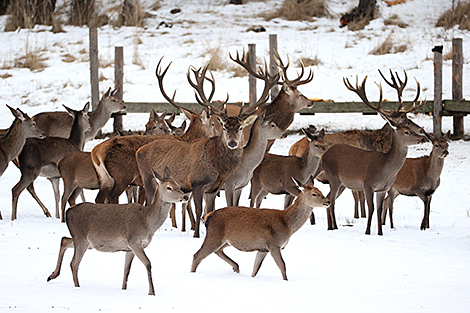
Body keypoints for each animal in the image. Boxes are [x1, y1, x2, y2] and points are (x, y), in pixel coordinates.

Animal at [46, 166, 189, 294]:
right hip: (81, 239)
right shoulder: (134, 241)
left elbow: (127, 270)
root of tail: (68, 212)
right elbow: (148, 263)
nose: (185, 197)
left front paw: (123, 289)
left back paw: (52, 275)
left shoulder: (129, 248)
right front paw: (152, 292)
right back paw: (77, 287)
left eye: (178, 185)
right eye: (169, 187)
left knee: (64, 240)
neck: (147, 223)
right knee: (74, 263)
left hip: (84, 241)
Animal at [191, 179, 330, 280]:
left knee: (218, 250)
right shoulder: (273, 243)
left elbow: (256, 269)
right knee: (197, 255)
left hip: (226, 240)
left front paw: (252, 278)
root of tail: (209, 216)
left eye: (321, 191)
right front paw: (286, 281)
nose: (328, 201)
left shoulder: (263, 249)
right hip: (214, 234)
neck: (286, 223)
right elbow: (282, 266)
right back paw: (192, 274)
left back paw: (236, 267)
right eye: (314, 194)